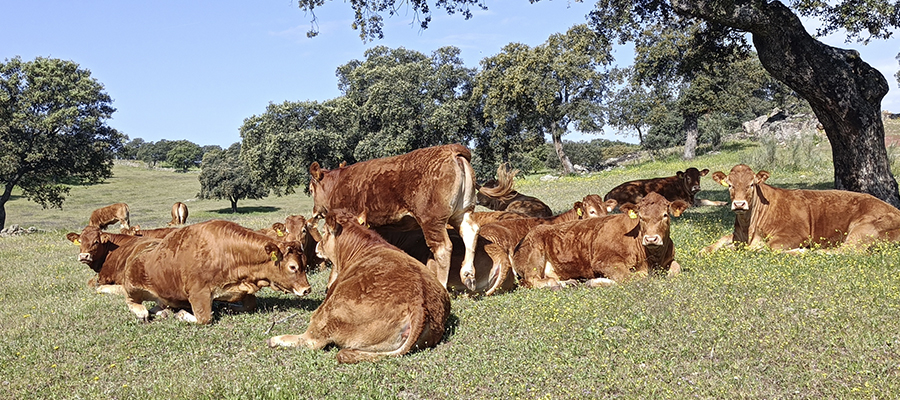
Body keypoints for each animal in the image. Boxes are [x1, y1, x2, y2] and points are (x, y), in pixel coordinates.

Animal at [122, 219, 312, 324]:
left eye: (305, 262)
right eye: (292, 267)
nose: (307, 289)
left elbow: (250, 305)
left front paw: (226, 306)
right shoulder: (198, 293)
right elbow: (204, 318)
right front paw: (182, 315)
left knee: (160, 304)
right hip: (132, 286)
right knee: (131, 301)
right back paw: (143, 312)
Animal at [268, 211, 450, 364]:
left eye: (325, 231)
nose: (318, 245)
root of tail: (419, 302)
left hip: (329, 311)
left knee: (312, 340)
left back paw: (275, 339)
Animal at [308, 144, 510, 290]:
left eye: (310, 189)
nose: (314, 211)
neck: (338, 183)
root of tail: (451, 149)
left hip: (431, 219)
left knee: (443, 248)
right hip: (462, 212)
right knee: (470, 232)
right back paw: (468, 275)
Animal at [512, 192, 688, 290]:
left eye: (665, 215)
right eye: (641, 217)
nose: (651, 238)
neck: (651, 259)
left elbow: (676, 269)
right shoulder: (604, 262)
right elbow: (631, 277)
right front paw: (596, 282)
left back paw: (569, 282)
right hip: (535, 257)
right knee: (535, 280)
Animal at [708, 164, 900, 252]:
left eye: (751, 184)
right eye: (730, 185)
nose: (739, 204)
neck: (749, 227)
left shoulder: (795, 234)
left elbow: (766, 247)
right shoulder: (736, 236)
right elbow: (719, 241)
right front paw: (706, 250)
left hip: (863, 229)